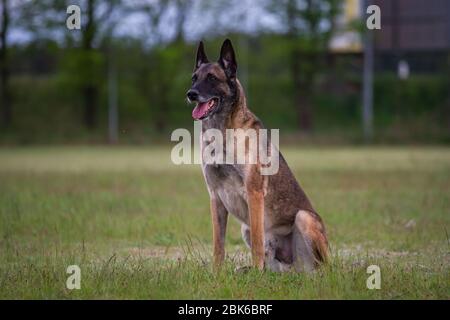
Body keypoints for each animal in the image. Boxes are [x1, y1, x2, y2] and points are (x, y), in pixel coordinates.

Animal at [185, 38, 328, 272]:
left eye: (212, 78)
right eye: (194, 78)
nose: (191, 94)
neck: (222, 132)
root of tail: (297, 268)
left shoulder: (254, 193)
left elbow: (258, 245)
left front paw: (255, 273)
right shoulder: (215, 197)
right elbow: (218, 245)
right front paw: (216, 273)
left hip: (303, 217)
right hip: (246, 229)